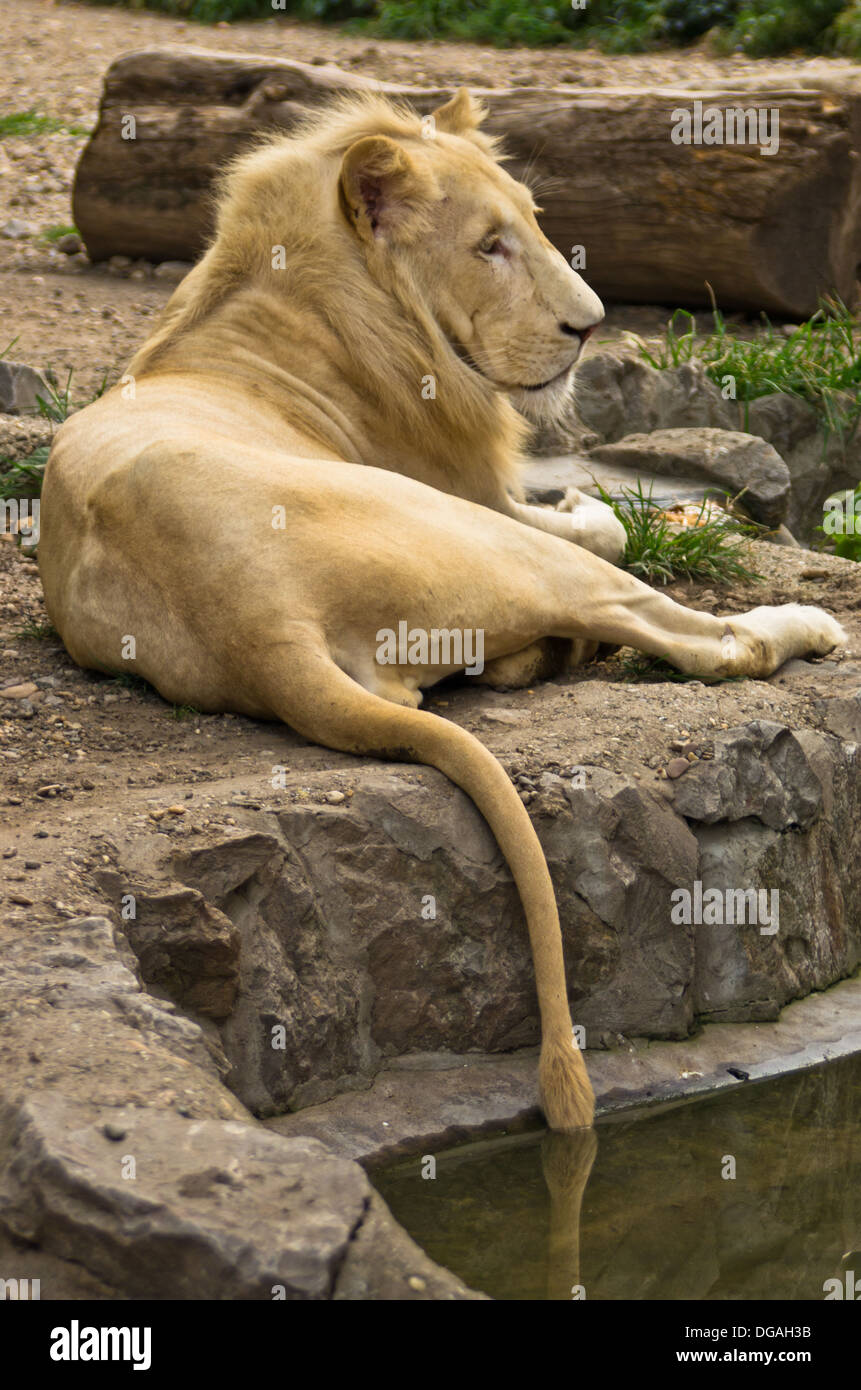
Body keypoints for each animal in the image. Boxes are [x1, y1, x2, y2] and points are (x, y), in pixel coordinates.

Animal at [38, 89, 845, 1132]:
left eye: (533, 225)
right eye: (488, 246)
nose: (590, 327)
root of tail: (256, 625)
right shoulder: (489, 497)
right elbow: (611, 527)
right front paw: (646, 508)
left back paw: (551, 654)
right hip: (486, 538)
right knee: (705, 641)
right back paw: (800, 624)